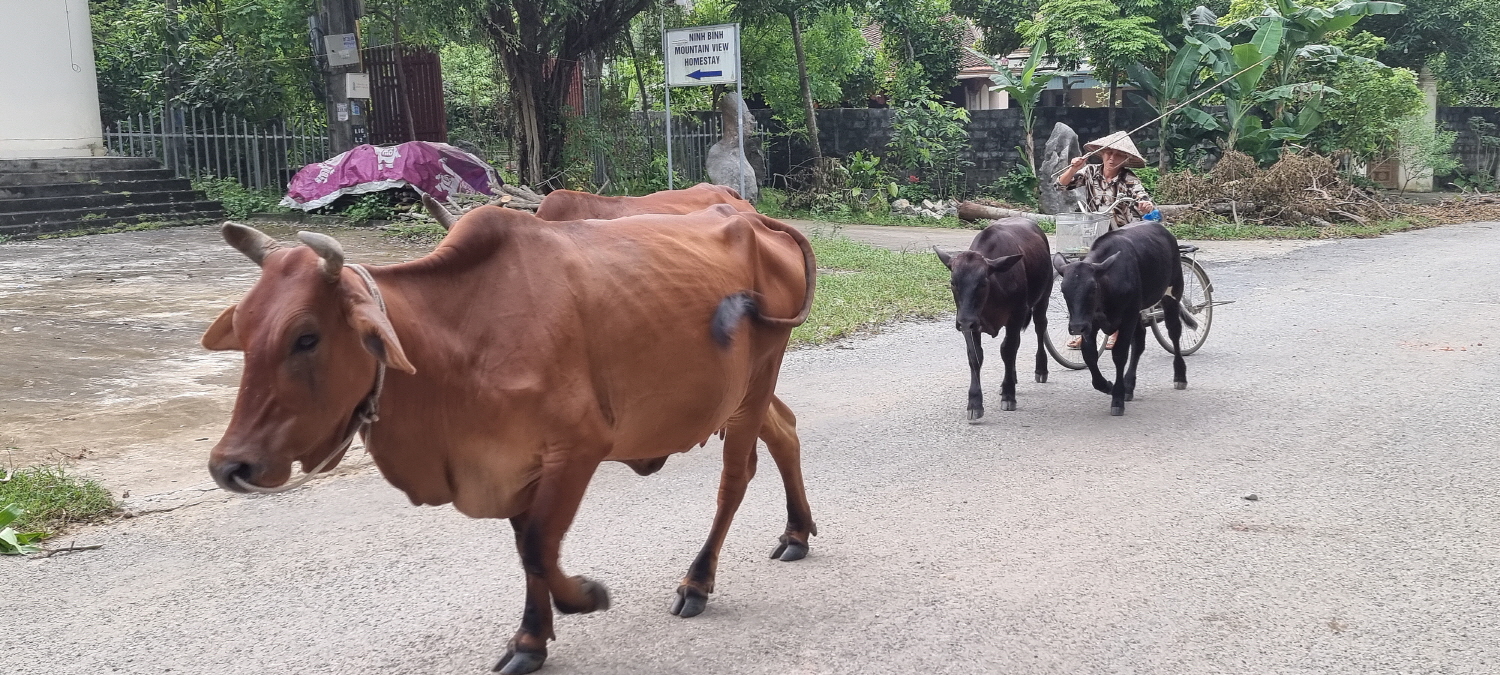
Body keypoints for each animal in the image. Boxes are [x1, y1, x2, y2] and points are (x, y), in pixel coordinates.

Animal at [205, 207, 816, 675]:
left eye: (306, 337)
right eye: (247, 330)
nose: (229, 466)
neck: (458, 341)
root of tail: (753, 217)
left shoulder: (577, 448)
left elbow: (540, 545)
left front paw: (585, 597)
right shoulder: (514, 462)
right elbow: (527, 547)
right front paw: (530, 640)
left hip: (756, 381)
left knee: (734, 479)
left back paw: (698, 581)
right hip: (741, 395)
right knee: (785, 431)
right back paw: (796, 533)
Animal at [936, 216, 1056, 420]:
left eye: (983, 282)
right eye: (953, 282)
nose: (963, 322)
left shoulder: (1016, 314)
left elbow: (1008, 350)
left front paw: (1009, 395)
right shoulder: (971, 322)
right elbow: (975, 357)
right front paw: (974, 402)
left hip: (1043, 298)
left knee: (1040, 328)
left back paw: (1040, 369)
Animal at [1050, 222, 1200, 414]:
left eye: (1093, 288)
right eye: (1063, 290)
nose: (1076, 327)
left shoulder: (1127, 317)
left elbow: (1120, 354)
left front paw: (1117, 399)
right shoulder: (1091, 321)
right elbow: (1089, 355)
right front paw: (1108, 386)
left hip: (1172, 293)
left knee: (1174, 332)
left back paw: (1180, 376)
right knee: (1140, 341)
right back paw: (1129, 386)